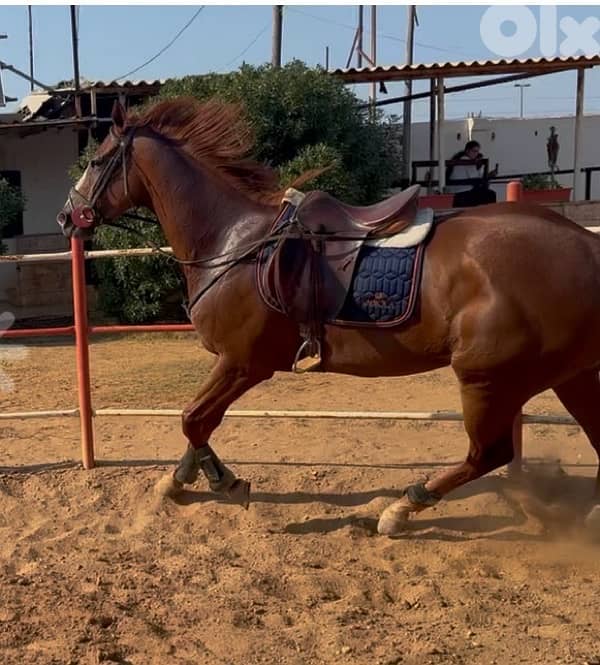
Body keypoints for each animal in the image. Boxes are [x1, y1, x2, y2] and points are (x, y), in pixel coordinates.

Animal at [57, 97, 600, 536]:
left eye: (98, 161)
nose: (67, 216)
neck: (235, 241)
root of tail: (586, 246)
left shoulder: (243, 363)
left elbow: (194, 420)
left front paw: (227, 483)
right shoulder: (234, 365)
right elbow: (198, 424)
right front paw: (179, 481)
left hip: (488, 377)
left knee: (488, 454)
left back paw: (400, 510)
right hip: (570, 375)